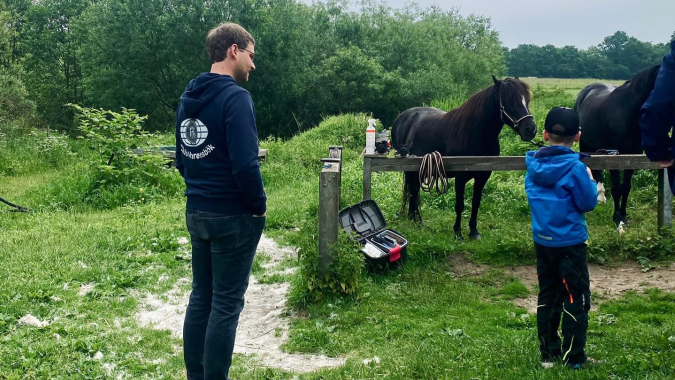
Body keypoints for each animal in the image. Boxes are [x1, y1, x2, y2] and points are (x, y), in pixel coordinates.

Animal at [390, 75, 540, 239]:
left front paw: (474, 231)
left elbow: (476, 203)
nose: (530, 130)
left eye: (527, 100)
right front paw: (458, 233)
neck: (474, 134)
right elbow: (460, 205)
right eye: (509, 100)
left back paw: (414, 219)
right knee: (414, 190)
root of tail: (403, 116)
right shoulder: (460, 176)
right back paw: (418, 222)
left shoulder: (483, 176)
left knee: (414, 189)